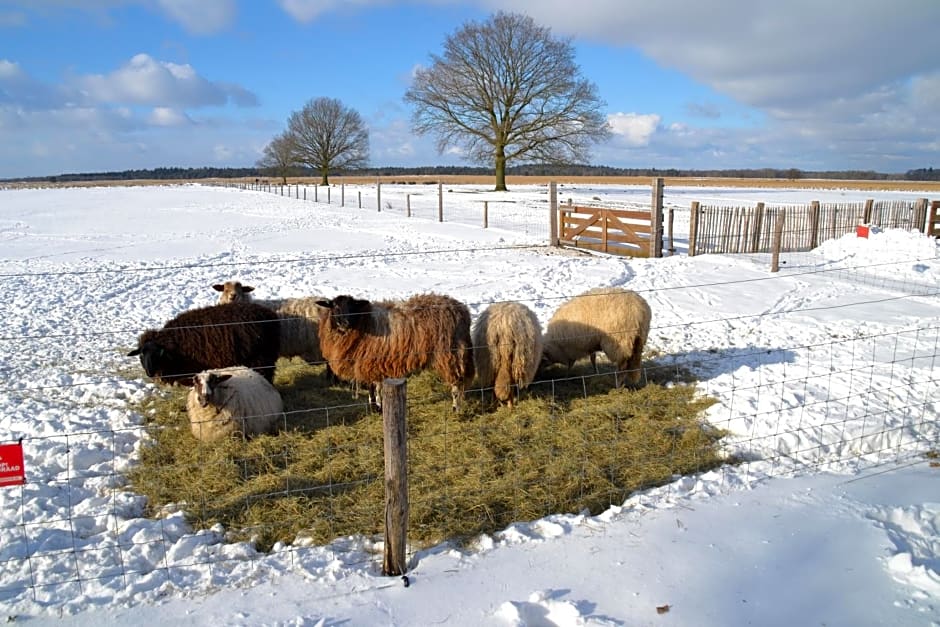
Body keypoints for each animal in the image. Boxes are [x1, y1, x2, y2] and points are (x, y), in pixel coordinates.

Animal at [318, 294, 478, 412]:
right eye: (335, 306)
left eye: (352, 307)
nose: (344, 323)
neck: (363, 321)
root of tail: (462, 309)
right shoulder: (374, 363)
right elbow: (377, 387)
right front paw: (378, 406)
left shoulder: (368, 361)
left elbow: (372, 388)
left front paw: (375, 407)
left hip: (452, 354)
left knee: (457, 383)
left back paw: (456, 408)